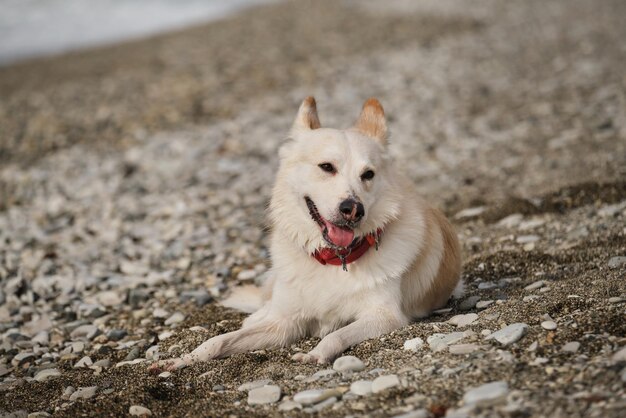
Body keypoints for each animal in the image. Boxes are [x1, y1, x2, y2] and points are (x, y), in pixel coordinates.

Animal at [152, 96, 458, 370]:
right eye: (326, 167)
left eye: (368, 174)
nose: (353, 209)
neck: (336, 259)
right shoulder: (283, 323)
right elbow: (217, 341)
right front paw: (185, 359)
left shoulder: (384, 316)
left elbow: (337, 335)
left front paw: (316, 354)